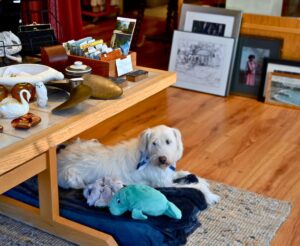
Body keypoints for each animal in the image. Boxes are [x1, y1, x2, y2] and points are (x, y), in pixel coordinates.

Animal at [57, 125, 219, 204]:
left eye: (168, 141)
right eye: (154, 143)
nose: (163, 159)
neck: (148, 158)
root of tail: (60, 157)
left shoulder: (168, 175)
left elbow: (186, 174)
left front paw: (202, 180)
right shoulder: (164, 184)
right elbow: (194, 187)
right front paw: (210, 196)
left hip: (91, 142)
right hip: (72, 178)